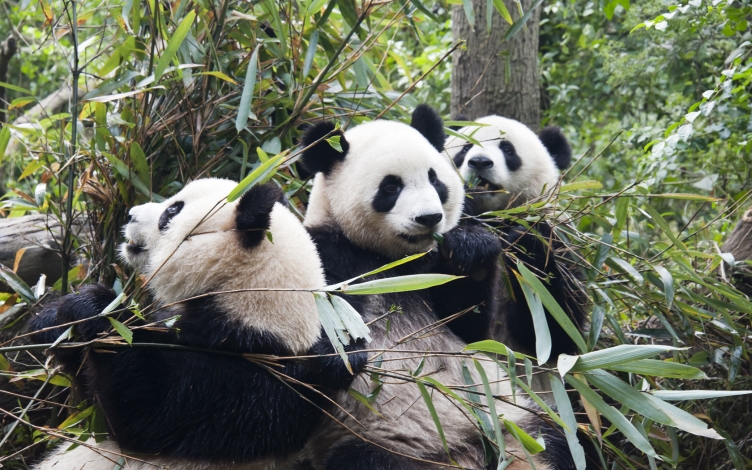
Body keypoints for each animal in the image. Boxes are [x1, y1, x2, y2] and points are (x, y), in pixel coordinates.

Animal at [28, 178, 363, 470]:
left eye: (171, 212)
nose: (130, 213)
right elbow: (90, 400)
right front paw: (53, 320)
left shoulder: (254, 380)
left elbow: (144, 411)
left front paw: (96, 308)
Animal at [444, 115, 588, 377]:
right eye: (465, 149)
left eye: (508, 149)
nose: (479, 162)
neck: (495, 217)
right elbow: (461, 325)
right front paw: (470, 247)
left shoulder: (559, 241)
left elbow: (558, 333)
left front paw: (524, 245)